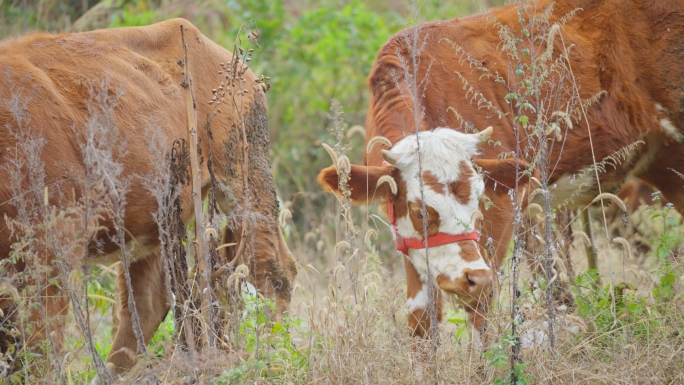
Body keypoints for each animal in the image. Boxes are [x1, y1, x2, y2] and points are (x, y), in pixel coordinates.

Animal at [2, 18, 296, 372]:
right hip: (156, 223)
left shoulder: (52, 243)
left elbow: (39, 348)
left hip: (245, 186)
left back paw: (274, 355)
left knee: (275, 271)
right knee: (149, 303)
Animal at [318, 0, 684, 342]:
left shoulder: (505, 207)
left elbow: (481, 306)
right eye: (420, 212)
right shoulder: (406, 238)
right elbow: (421, 320)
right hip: (664, 160)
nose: (471, 277)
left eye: (480, 201)